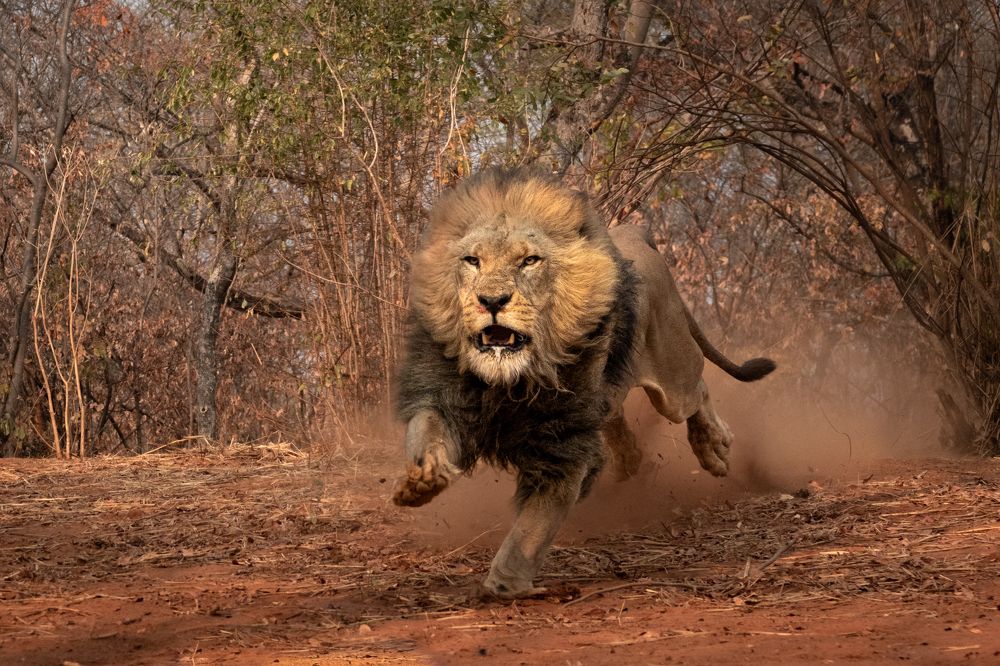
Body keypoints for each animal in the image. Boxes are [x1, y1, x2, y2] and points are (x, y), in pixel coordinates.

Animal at [392, 169, 775, 599]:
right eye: (472, 261)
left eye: (529, 261)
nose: (490, 300)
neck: (510, 381)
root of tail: (635, 232)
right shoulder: (447, 400)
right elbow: (426, 433)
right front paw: (421, 481)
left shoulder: (564, 446)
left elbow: (534, 525)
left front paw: (505, 583)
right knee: (622, 430)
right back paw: (627, 468)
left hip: (671, 371)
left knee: (697, 390)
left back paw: (714, 449)